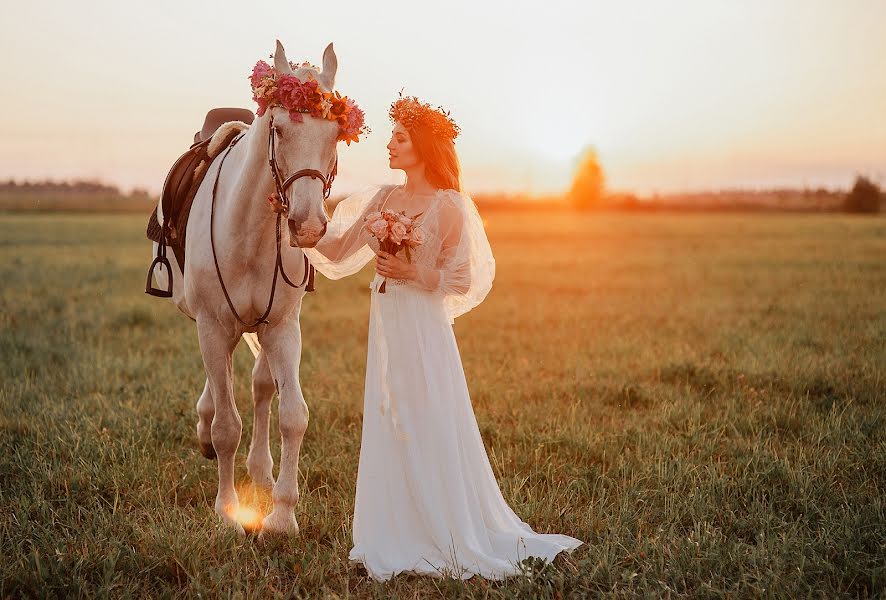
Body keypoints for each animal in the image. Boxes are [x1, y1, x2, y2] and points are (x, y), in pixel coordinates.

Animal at [149, 42, 336, 536]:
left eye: (335, 133)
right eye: (279, 128)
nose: (307, 225)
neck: (250, 229)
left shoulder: (283, 328)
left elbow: (293, 415)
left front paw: (282, 515)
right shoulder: (214, 326)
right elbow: (226, 427)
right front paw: (228, 510)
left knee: (260, 386)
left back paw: (261, 471)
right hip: (209, 323)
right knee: (222, 393)